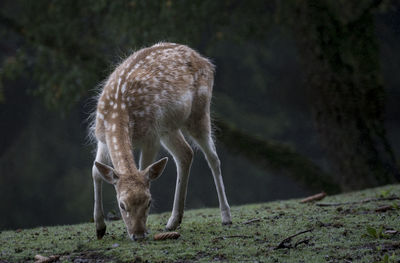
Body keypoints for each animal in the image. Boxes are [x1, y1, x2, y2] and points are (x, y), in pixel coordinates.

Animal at [90, 42, 231, 242]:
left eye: (149, 202)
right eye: (122, 205)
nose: (138, 234)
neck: (117, 112)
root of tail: (206, 62)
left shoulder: (151, 136)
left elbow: (144, 168)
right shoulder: (102, 137)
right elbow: (96, 172)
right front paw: (100, 228)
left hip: (199, 111)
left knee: (212, 157)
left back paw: (226, 216)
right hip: (168, 128)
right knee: (185, 154)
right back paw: (173, 221)